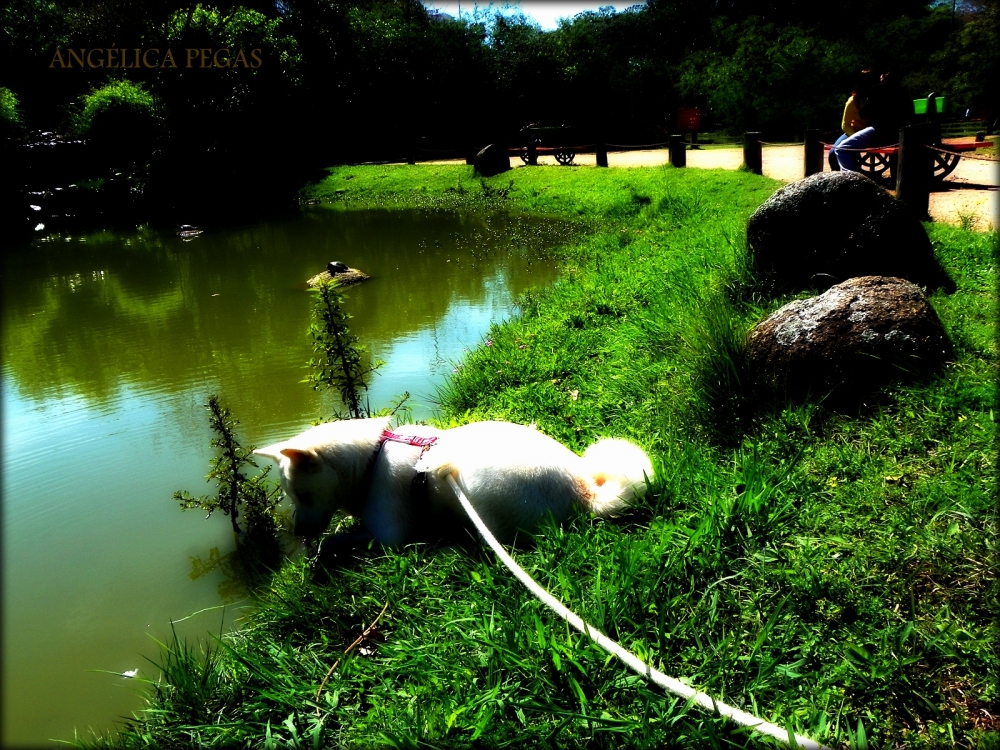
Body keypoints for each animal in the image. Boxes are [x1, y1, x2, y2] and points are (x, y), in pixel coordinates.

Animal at [254, 418, 652, 548]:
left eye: (302, 495)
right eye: (292, 497)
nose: (298, 534)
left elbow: (337, 540)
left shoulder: (389, 536)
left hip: (478, 484)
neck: (371, 459)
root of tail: (584, 491)